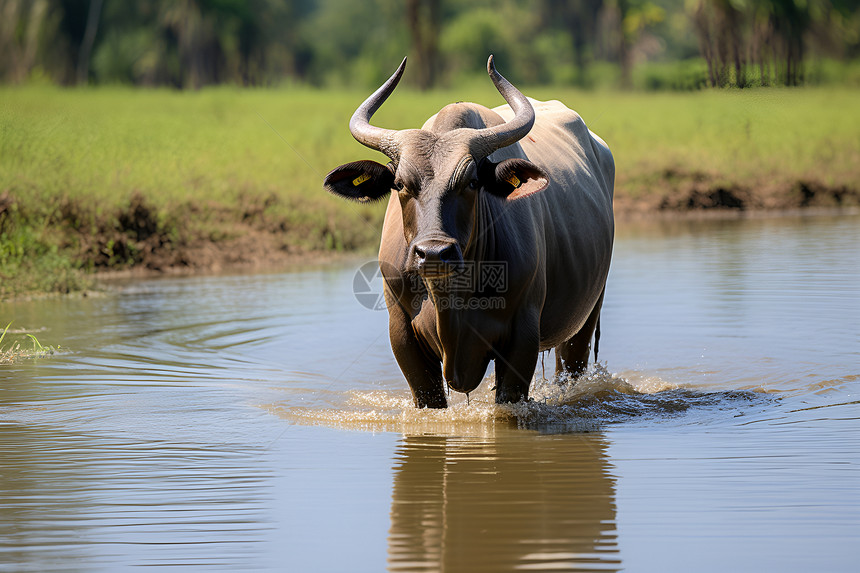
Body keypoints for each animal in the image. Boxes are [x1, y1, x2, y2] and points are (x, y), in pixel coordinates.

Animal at [322, 57, 612, 406]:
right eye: (400, 184)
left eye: (472, 182)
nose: (434, 254)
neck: (451, 302)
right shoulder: (402, 336)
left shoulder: (522, 338)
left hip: (586, 316)